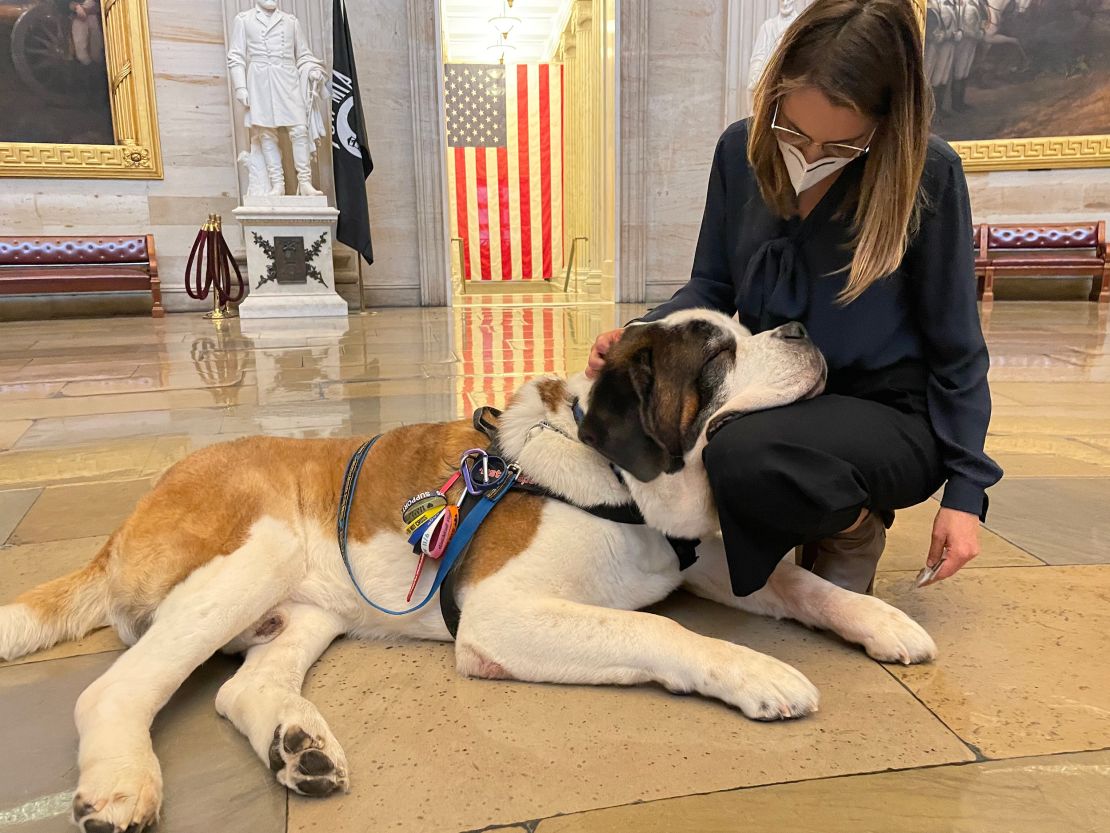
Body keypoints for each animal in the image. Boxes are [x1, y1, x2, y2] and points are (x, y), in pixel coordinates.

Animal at [0, 310, 936, 830]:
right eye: (717, 356)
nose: (801, 328)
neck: (614, 478)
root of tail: (127, 517)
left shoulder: (703, 562)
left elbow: (798, 583)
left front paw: (881, 619)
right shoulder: (497, 611)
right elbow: (653, 626)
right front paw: (758, 672)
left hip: (308, 608)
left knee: (241, 686)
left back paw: (298, 746)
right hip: (250, 553)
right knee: (115, 689)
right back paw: (120, 783)